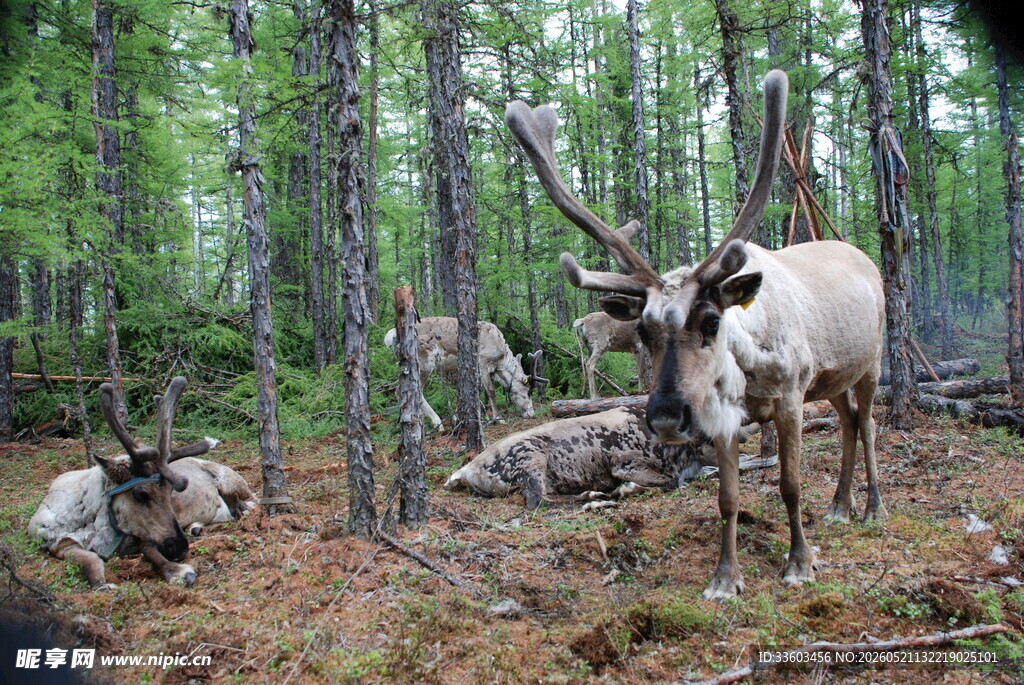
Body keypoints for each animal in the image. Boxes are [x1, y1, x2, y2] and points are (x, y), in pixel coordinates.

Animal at [28, 377, 256, 589]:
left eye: (171, 491)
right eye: (140, 494)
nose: (181, 548)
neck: (86, 520)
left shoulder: (137, 536)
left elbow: (149, 550)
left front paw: (178, 571)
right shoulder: (56, 543)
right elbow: (90, 560)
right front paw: (102, 584)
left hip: (229, 481)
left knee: (246, 504)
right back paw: (196, 527)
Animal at [384, 316, 540, 430]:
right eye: (528, 392)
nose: (532, 414)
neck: (501, 359)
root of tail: (390, 336)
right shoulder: (483, 362)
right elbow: (491, 391)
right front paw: (498, 418)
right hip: (424, 362)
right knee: (406, 391)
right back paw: (437, 423)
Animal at [506, 69, 886, 601]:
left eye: (711, 321)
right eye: (643, 330)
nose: (667, 417)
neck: (749, 373)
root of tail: (863, 258)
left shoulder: (791, 396)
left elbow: (789, 484)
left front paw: (799, 564)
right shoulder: (724, 416)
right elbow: (727, 497)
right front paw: (725, 579)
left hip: (871, 361)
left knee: (868, 424)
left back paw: (872, 508)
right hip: (831, 379)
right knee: (849, 421)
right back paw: (838, 506)